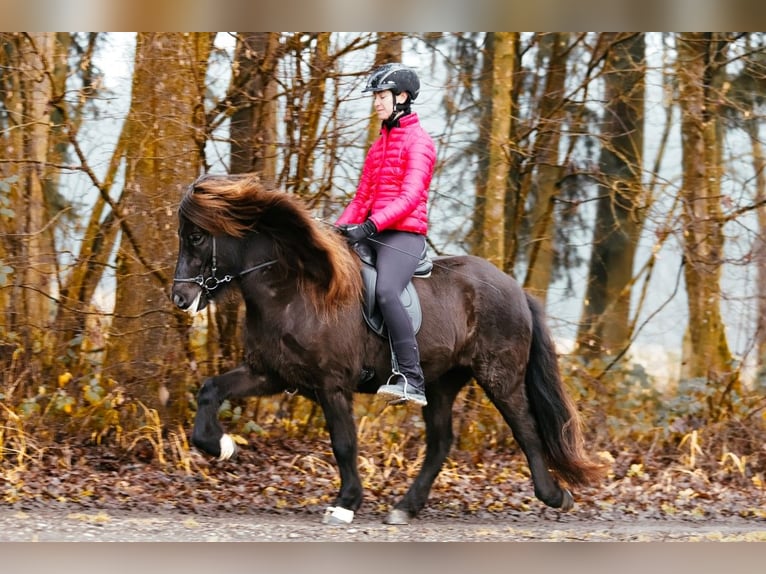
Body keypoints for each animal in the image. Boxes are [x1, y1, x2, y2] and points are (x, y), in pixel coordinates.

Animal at [171, 173, 602, 526]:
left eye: (196, 237)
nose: (180, 297)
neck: (295, 291)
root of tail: (516, 289)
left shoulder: (332, 384)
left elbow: (344, 443)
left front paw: (345, 504)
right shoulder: (271, 374)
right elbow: (211, 390)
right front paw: (221, 446)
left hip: (501, 378)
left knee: (526, 430)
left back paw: (555, 496)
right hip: (441, 382)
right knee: (440, 443)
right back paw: (405, 508)